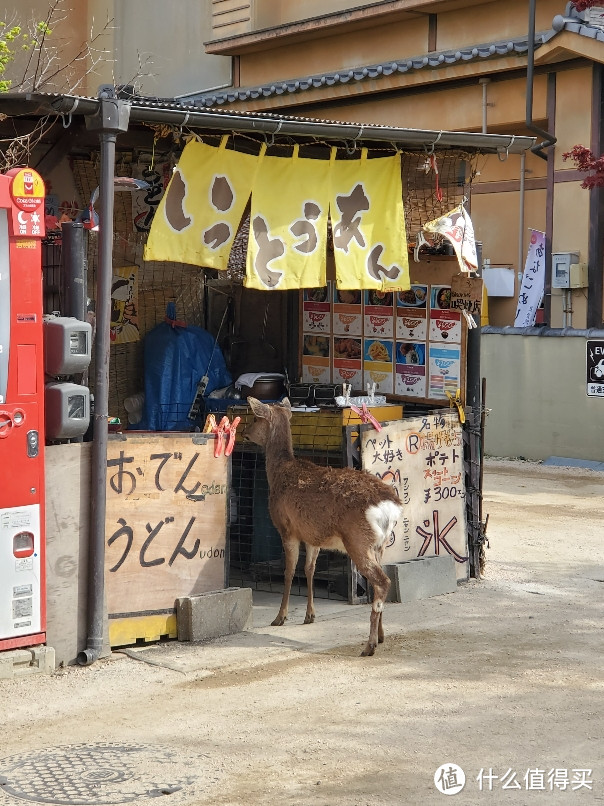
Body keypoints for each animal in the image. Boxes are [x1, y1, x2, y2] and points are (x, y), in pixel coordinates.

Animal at [243, 398, 404, 656]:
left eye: (256, 418)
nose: (244, 432)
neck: (279, 473)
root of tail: (390, 506)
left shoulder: (287, 528)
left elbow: (289, 572)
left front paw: (280, 617)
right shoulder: (312, 535)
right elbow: (309, 569)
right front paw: (310, 615)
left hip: (358, 540)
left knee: (382, 581)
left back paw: (368, 646)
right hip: (381, 544)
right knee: (380, 581)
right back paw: (380, 636)